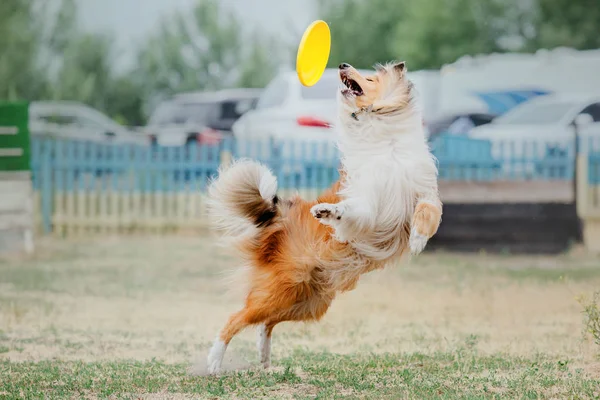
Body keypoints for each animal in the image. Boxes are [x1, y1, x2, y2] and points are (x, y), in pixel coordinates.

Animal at [204, 61, 442, 374]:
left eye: (369, 78)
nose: (342, 65)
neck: (384, 141)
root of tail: (281, 217)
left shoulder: (424, 191)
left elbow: (429, 212)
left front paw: (417, 240)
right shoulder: (368, 203)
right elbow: (352, 210)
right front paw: (329, 211)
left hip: (307, 301)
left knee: (265, 323)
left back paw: (265, 360)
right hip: (281, 291)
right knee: (236, 318)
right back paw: (214, 363)